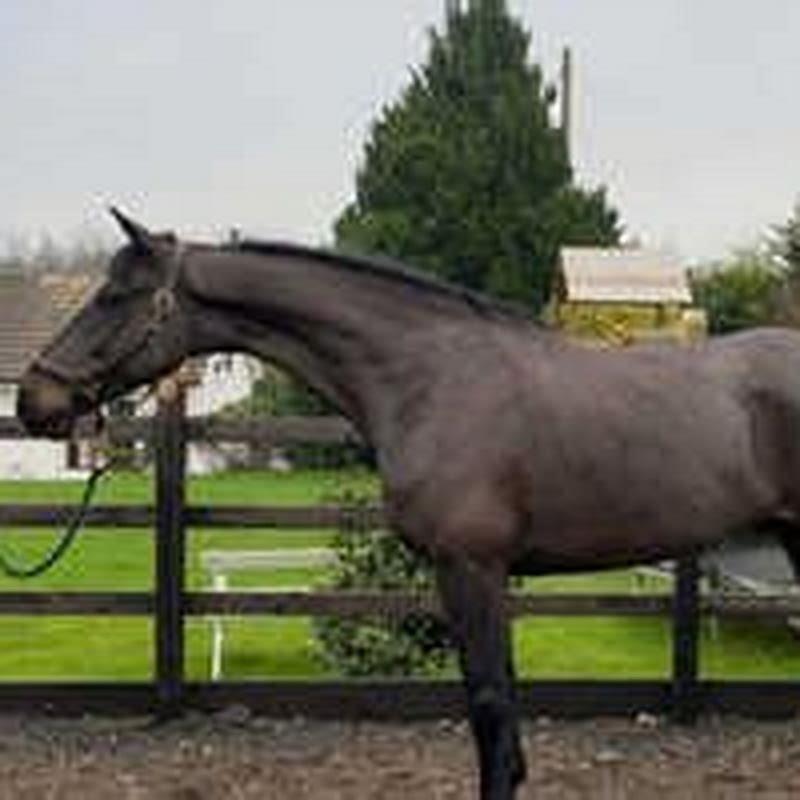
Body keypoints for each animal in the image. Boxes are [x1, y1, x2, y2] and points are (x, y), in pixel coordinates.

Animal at [17, 209, 800, 800]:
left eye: (114, 297)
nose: (33, 399)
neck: (432, 375)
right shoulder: (486, 574)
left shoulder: (470, 567)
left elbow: (489, 706)